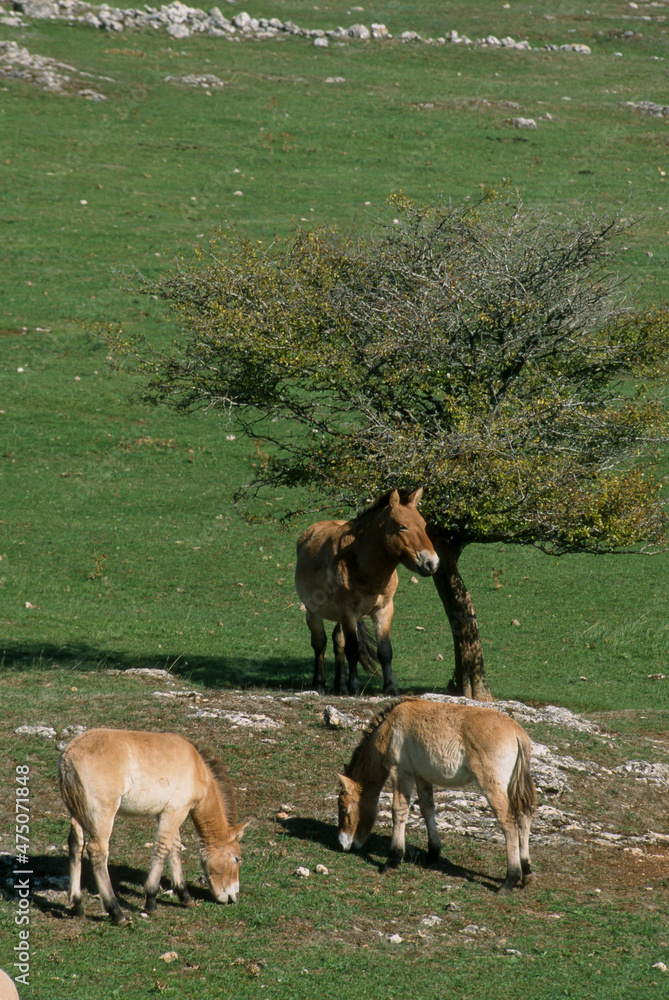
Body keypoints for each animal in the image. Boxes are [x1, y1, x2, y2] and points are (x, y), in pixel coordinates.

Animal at [58, 728, 249, 926]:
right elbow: (163, 849)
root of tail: (69, 755)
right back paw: (116, 912)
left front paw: (184, 896)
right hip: (103, 815)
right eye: (237, 859)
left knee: (76, 846)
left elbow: (175, 848)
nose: (233, 896)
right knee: (97, 852)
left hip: (76, 814)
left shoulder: (167, 813)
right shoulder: (176, 812)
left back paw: (77, 905)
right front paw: (151, 899)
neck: (197, 767)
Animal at [295, 488, 439, 696]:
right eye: (402, 527)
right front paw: (355, 687)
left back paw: (340, 686)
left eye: (424, 525)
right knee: (319, 643)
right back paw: (320, 684)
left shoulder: (384, 609)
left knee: (338, 641)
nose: (432, 563)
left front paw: (390, 688)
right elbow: (353, 649)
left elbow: (385, 651)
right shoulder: (348, 610)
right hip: (313, 611)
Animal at [337, 699, 536, 893]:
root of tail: (517, 733)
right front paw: (433, 853)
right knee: (524, 817)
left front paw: (392, 860)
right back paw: (526, 872)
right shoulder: (421, 777)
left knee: (508, 823)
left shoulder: (401, 773)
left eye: (344, 809)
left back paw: (510, 880)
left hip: (492, 785)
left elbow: (398, 811)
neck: (389, 726)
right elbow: (427, 809)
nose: (343, 844)